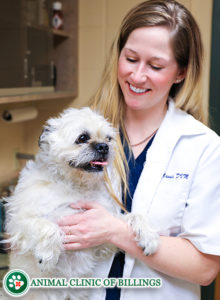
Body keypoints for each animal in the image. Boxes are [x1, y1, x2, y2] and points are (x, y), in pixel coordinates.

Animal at [3, 108, 158, 300]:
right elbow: (49, 227)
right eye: (83, 138)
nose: (104, 147)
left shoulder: (104, 238)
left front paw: (148, 236)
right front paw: (47, 256)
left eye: (108, 138)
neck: (75, 186)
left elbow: (135, 216)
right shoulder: (18, 222)